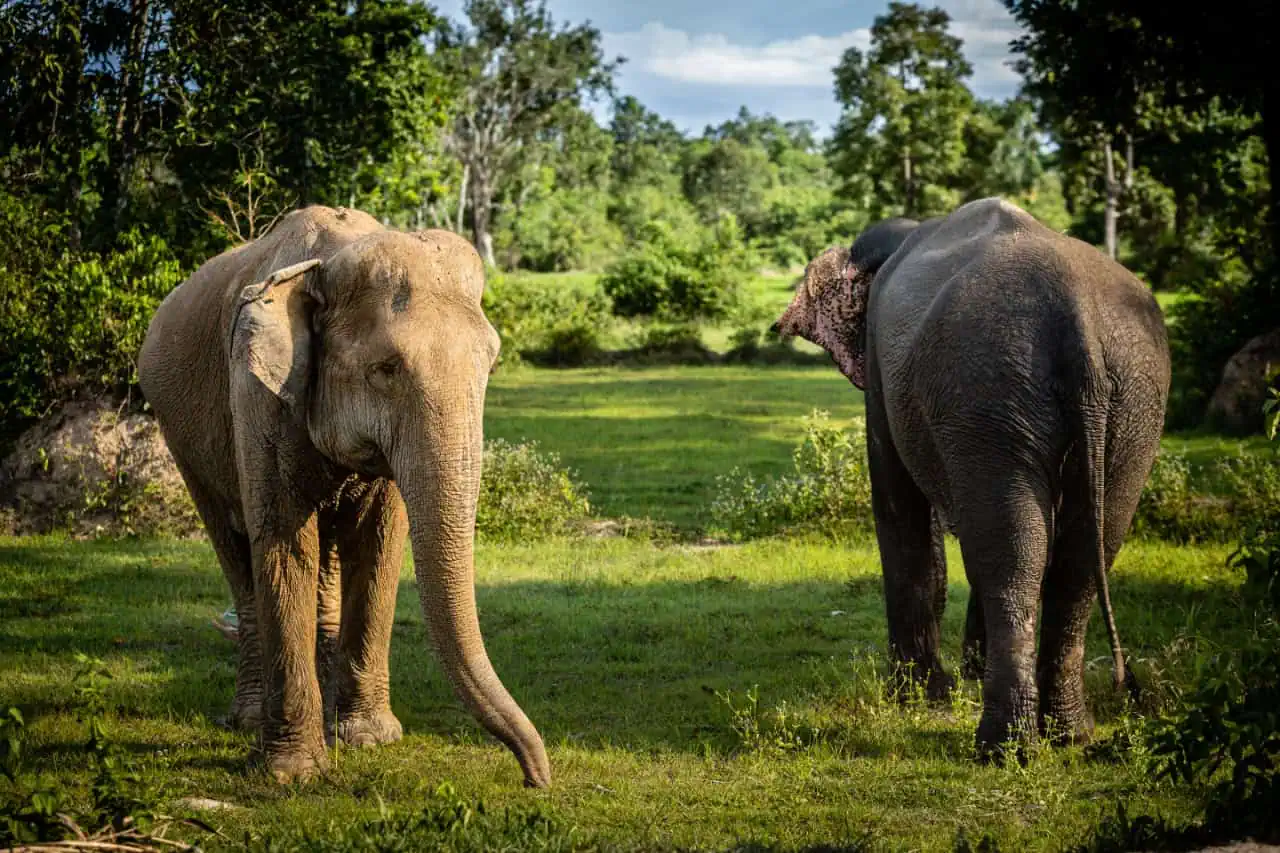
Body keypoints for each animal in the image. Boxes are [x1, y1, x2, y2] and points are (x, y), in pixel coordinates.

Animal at [137, 205, 549, 787]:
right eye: (386, 369)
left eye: (489, 364)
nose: (535, 778)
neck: (330, 262)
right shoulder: (255, 393)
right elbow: (283, 541)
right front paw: (291, 775)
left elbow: (378, 543)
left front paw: (368, 738)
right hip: (179, 436)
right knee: (233, 545)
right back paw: (248, 720)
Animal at [773, 197, 1170, 757]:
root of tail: (1074, 312)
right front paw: (961, 678)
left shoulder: (882, 367)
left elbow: (900, 508)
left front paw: (920, 696)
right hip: (1131, 402)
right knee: (1075, 555)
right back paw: (1068, 734)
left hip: (990, 386)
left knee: (1011, 552)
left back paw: (1004, 748)